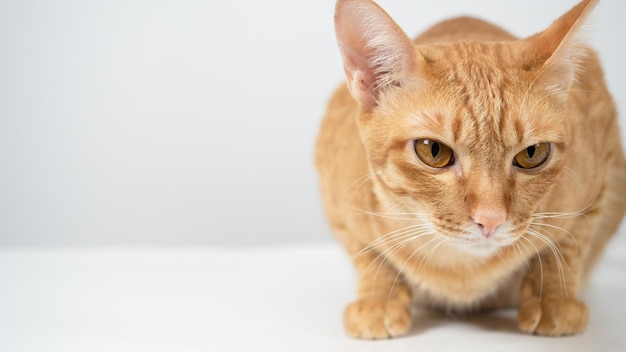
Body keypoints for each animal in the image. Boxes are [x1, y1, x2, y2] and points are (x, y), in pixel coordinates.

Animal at [314, 0, 624, 338]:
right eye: (433, 151)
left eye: (532, 154)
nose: (491, 220)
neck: (461, 272)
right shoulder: (336, 201)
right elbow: (369, 254)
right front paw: (378, 299)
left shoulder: (602, 173)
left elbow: (568, 247)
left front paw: (553, 299)